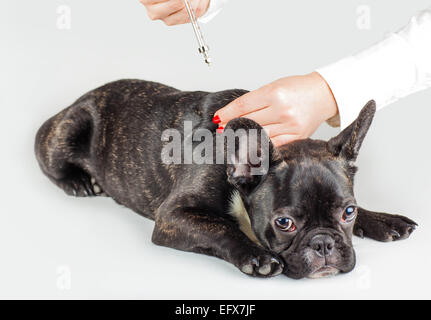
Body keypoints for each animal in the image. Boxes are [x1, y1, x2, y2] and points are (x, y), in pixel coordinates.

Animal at [35, 80, 416, 280]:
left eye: (348, 213)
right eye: (284, 223)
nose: (323, 244)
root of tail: (81, 97)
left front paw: (383, 220)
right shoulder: (172, 217)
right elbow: (221, 226)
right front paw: (257, 256)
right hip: (69, 128)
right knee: (49, 160)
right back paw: (78, 181)